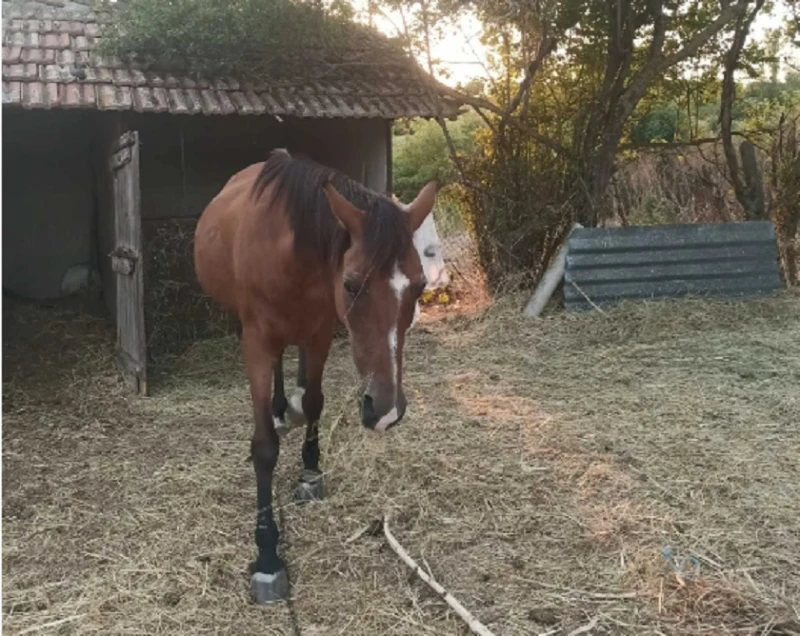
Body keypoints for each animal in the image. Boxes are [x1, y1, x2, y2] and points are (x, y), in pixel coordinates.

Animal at [195, 148, 438, 600]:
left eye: (418, 287)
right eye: (352, 283)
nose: (386, 412)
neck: (287, 254)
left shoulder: (320, 332)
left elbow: (313, 402)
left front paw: (309, 471)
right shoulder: (256, 343)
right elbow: (264, 447)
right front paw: (267, 556)